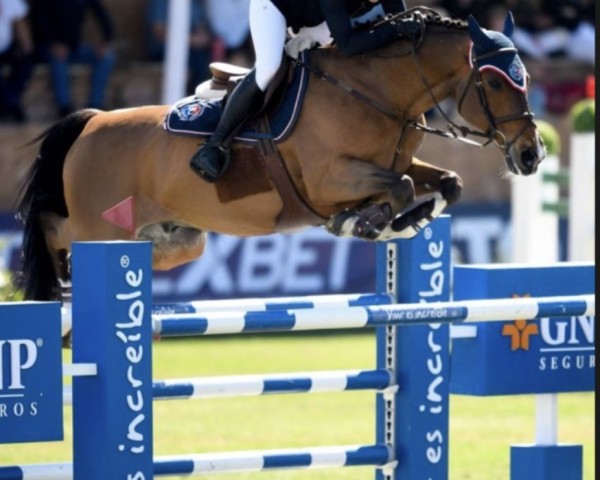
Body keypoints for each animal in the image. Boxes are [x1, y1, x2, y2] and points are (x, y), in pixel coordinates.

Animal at [17, 8, 544, 308]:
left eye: (526, 78)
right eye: (495, 81)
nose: (531, 155)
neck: (375, 90)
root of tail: (91, 123)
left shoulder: (392, 164)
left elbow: (445, 182)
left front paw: (399, 220)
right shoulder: (328, 179)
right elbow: (401, 188)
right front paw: (363, 222)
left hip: (176, 236)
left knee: (153, 248)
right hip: (97, 225)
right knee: (54, 228)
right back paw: (55, 285)